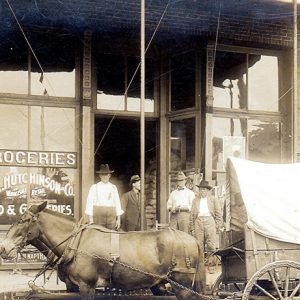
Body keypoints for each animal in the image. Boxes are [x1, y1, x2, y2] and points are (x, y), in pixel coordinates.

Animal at [0, 202, 206, 300]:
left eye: (23, 220)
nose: (4, 247)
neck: (75, 243)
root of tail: (193, 240)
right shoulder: (73, 286)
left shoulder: (87, 286)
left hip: (183, 286)